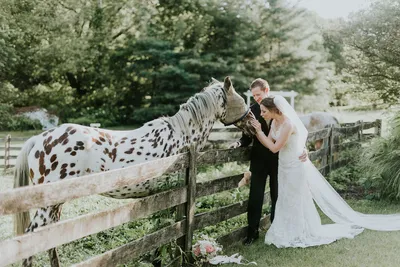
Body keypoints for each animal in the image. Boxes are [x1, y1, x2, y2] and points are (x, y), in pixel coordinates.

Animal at [13, 76, 256, 266]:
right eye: (240, 99)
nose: (253, 123)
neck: (182, 137)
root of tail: (39, 139)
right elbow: (165, 230)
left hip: (56, 204)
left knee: (49, 239)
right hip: (47, 206)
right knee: (31, 240)